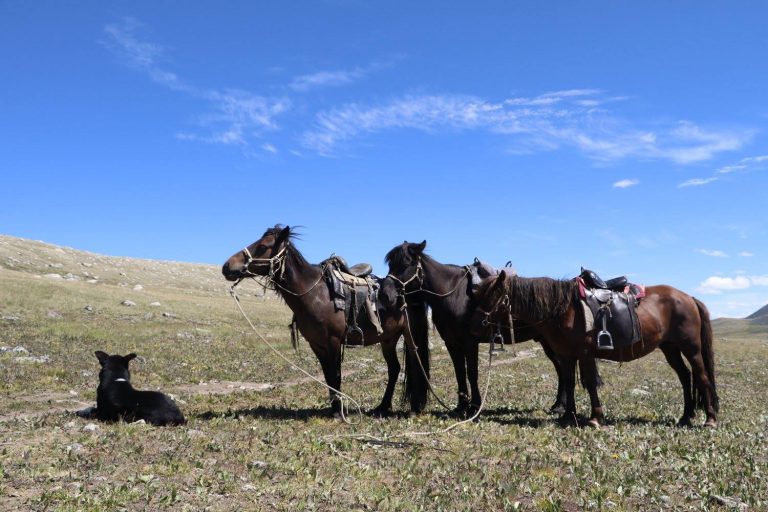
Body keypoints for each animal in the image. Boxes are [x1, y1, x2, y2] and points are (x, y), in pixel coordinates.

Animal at [222, 226, 428, 418]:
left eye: (263, 246)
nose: (227, 266)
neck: (314, 295)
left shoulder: (334, 341)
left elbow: (336, 376)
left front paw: (338, 412)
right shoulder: (317, 344)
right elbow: (328, 377)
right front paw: (334, 409)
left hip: (409, 335)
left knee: (416, 366)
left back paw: (413, 408)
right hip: (388, 339)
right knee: (394, 369)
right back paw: (382, 407)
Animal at [384, 242, 592, 418]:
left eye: (406, 263)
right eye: (390, 265)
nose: (386, 293)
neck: (452, 294)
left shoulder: (470, 341)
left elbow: (472, 373)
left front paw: (474, 407)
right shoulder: (452, 343)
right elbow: (460, 373)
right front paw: (461, 407)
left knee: (562, 368)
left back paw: (560, 406)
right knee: (560, 369)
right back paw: (558, 405)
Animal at [468, 272, 720, 428]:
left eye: (492, 295)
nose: (474, 324)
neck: (562, 309)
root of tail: (689, 298)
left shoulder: (585, 353)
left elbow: (589, 383)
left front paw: (596, 418)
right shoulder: (566, 355)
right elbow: (569, 383)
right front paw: (568, 416)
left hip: (691, 348)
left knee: (702, 376)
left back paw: (710, 419)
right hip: (670, 348)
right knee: (685, 377)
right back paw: (686, 417)